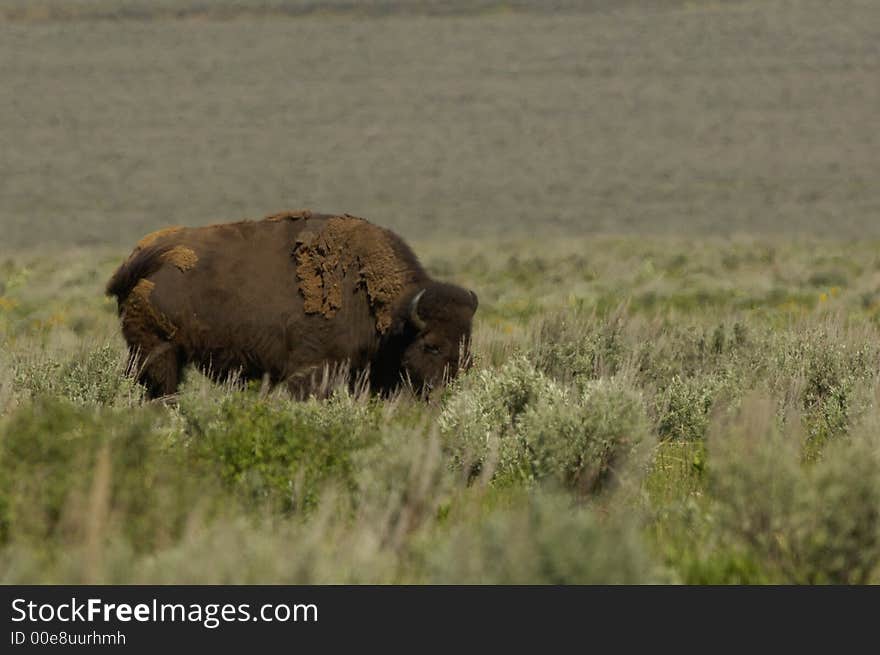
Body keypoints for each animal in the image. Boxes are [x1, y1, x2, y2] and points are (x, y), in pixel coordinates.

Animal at [106, 210, 478, 400]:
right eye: (431, 346)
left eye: (468, 350)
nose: (443, 394)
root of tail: (142, 255)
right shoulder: (311, 369)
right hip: (158, 352)